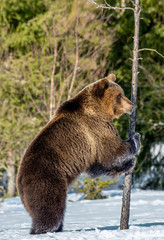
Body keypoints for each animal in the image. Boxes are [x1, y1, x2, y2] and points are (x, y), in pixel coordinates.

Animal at [17, 73, 141, 234]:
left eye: (123, 93)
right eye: (119, 95)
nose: (132, 105)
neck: (100, 110)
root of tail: (20, 178)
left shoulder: (90, 149)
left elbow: (98, 166)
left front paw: (128, 164)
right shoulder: (97, 128)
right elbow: (112, 151)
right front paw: (135, 140)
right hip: (47, 179)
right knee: (50, 211)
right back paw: (45, 230)